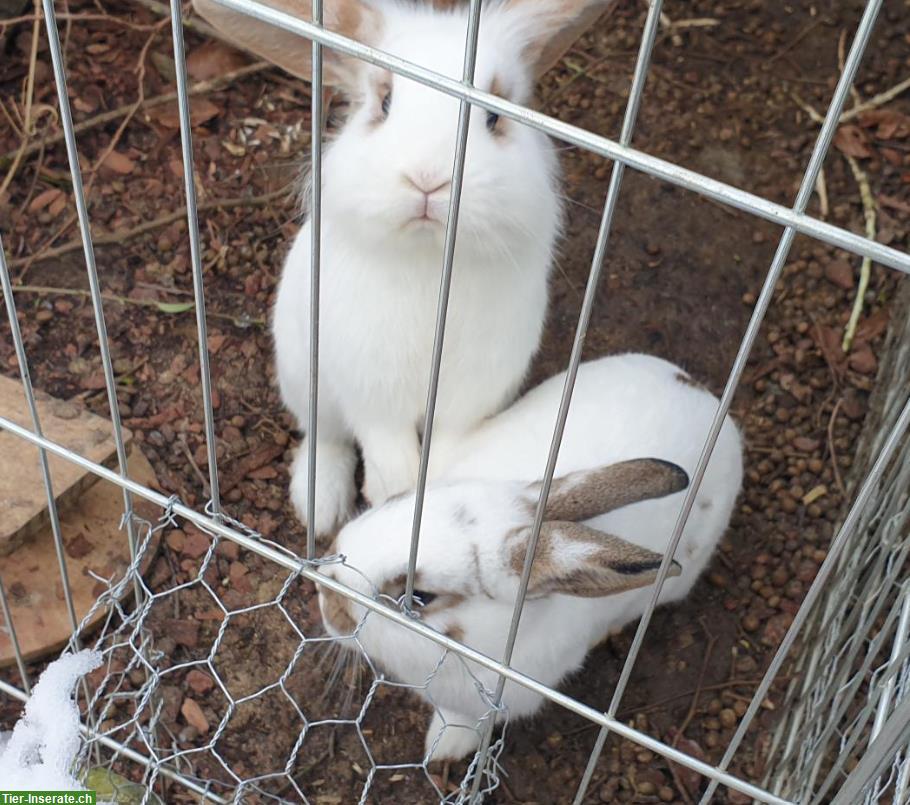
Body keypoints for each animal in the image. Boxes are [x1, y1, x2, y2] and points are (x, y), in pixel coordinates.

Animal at [194, 0, 612, 532]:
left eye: (495, 115)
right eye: (385, 103)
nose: (428, 179)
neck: (432, 254)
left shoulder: (470, 397)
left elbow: (446, 454)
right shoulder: (368, 387)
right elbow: (387, 451)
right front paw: (390, 495)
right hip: (303, 377)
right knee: (323, 435)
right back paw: (319, 508)